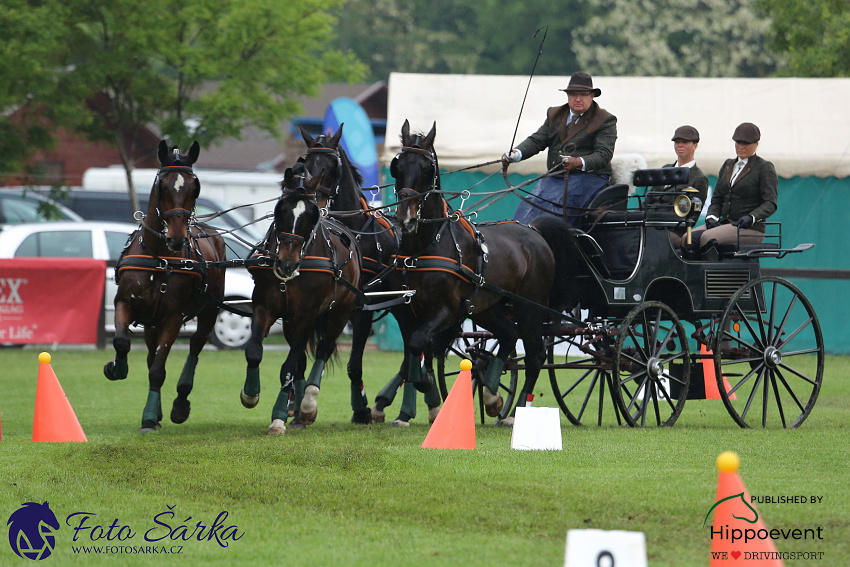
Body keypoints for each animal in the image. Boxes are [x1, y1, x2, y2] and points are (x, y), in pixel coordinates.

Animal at [103, 140, 225, 432]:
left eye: (194, 187)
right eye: (162, 185)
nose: (177, 238)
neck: (160, 257)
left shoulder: (172, 317)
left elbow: (159, 370)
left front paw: (149, 418)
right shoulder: (125, 303)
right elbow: (122, 341)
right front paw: (116, 368)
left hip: (208, 313)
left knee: (195, 347)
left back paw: (180, 403)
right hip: (151, 323)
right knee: (150, 354)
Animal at [240, 165, 360, 434]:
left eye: (310, 216)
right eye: (280, 210)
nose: (287, 263)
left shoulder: (307, 315)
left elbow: (289, 366)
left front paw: (278, 417)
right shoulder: (265, 307)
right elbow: (254, 350)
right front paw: (251, 394)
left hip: (341, 311)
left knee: (323, 349)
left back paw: (307, 404)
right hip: (289, 321)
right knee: (302, 358)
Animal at [298, 126, 404, 424]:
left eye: (332, 166)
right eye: (305, 164)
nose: (315, 203)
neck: (354, 232)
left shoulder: (361, 309)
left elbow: (354, 363)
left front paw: (361, 408)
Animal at [388, 121, 552, 426]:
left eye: (428, 169)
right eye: (397, 166)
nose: (406, 219)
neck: (425, 246)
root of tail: (535, 233)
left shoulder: (447, 310)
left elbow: (420, 344)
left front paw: (426, 387)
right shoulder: (406, 311)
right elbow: (411, 354)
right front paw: (423, 396)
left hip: (530, 309)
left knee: (535, 357)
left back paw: (517, 411)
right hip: (486, 308)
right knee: (508, 335)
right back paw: (491, 394)